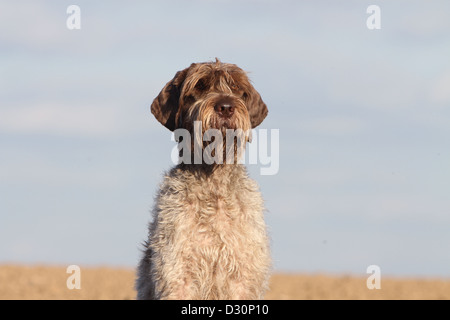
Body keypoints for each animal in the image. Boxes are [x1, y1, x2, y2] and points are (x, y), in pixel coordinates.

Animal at [136, 58, 270, 300]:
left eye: (236, 87)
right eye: (199, 86)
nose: (226, 107)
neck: (213, 184)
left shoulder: (242, 277)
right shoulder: (178, 275)